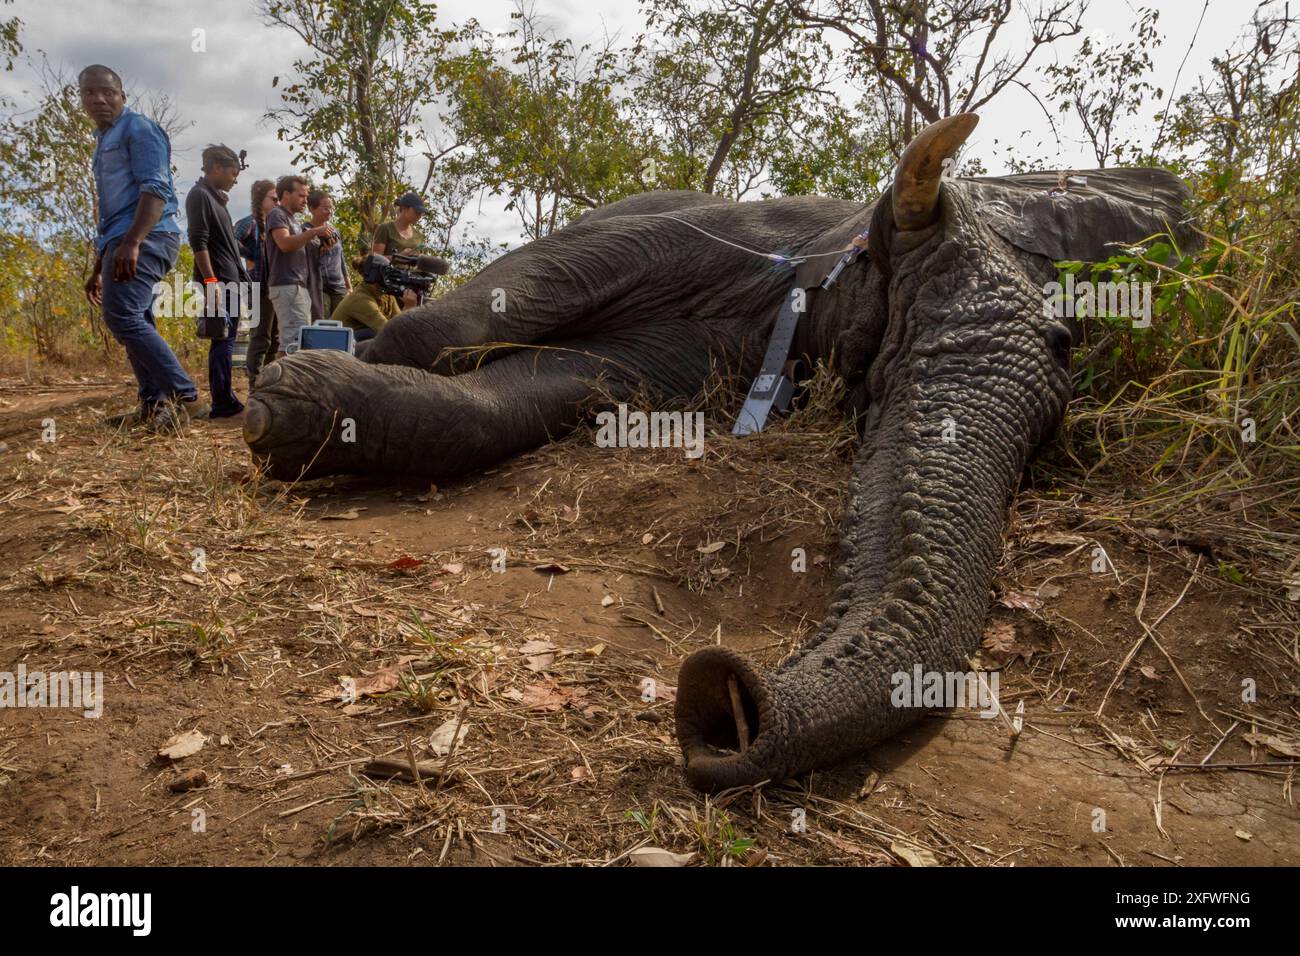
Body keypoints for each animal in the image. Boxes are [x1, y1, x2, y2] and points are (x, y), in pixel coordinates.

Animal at [242, 114, 1195, 792]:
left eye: (1058, 381)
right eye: (898, 331)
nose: (728, 703)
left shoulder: (702, 354)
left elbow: (549, 393)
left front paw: (299, 409)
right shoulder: (717, 237)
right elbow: (481, 309)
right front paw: (281, 399)